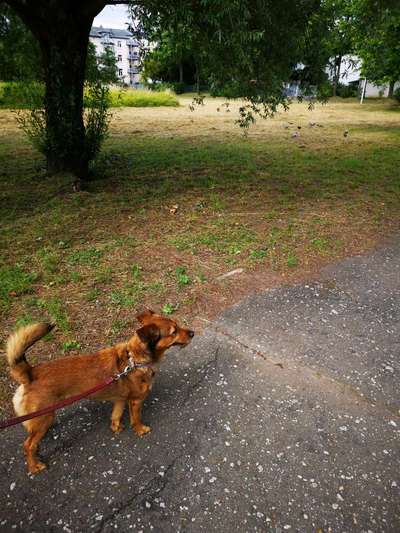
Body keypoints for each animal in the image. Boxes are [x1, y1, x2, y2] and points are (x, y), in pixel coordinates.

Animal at [5, 308, 194, 474]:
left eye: (177, 326)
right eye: (174, 331)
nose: (192, 333)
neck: (134, 359)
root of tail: (30, 373)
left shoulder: (120, 400)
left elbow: (116, 415)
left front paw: (116, 428)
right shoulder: (135, 401)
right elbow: (136, 419)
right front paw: (140, 430)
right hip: (43, 419)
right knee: (28, 445)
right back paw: (34, 466)